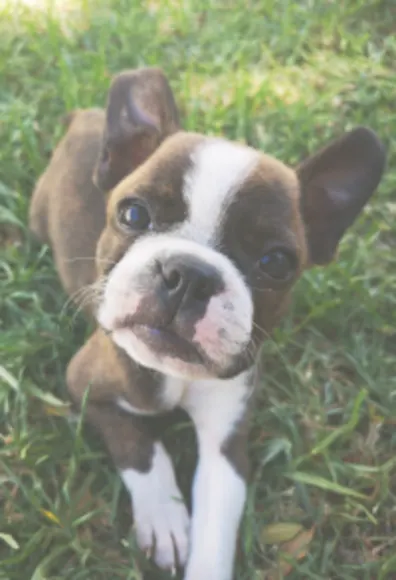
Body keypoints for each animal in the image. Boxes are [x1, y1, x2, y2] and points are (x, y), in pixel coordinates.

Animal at [30, 69, 386, 580]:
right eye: (133, 213)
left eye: (276, 263)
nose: (189, 275)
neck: (176, 375)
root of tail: (86, 119)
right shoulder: (87, 388)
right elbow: (141, 448)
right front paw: (164, 518)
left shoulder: (226, 444)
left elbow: (216, 524)